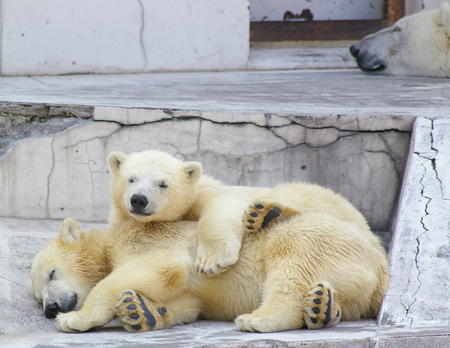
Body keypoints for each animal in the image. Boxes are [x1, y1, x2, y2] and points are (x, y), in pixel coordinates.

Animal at [31, 151, 390, 334]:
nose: (50, 309)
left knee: (292, 268)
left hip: (315, 238)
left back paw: (260, 318)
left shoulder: (146, 240)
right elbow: (187, 302)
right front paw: (139, 311)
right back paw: (322, 307)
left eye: (51, 273)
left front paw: (76, 319)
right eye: (37, 297)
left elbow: (160, 266)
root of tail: (381, 265)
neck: (112, 237)